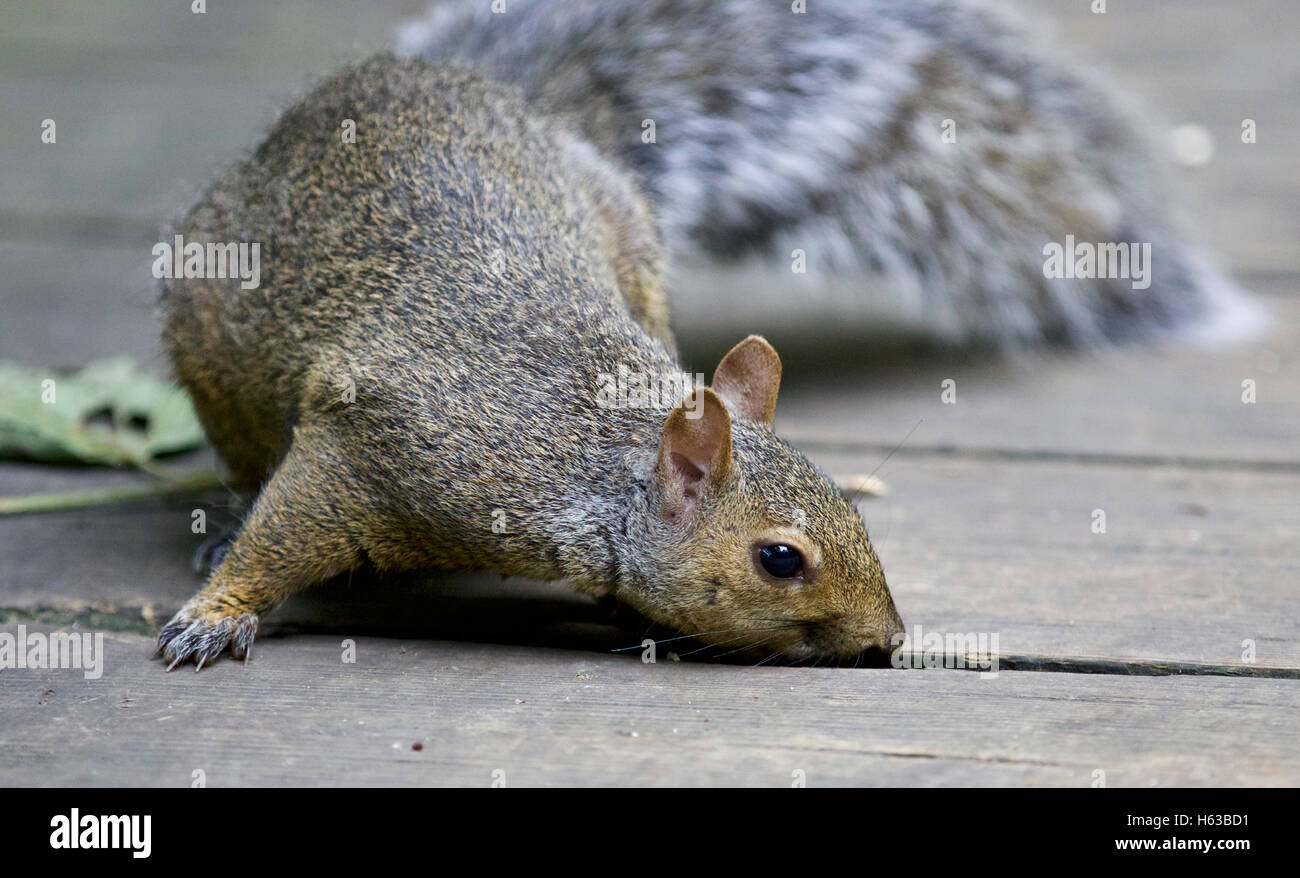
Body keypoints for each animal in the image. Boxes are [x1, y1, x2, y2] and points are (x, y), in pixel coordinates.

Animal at [154, 54, 904, 671]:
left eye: (851, 510)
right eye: (780, 559)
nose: (889, 638)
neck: (585, 465)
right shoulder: (377, 446)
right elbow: (281, 535)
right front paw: (215, 613)